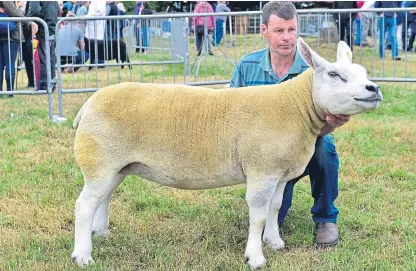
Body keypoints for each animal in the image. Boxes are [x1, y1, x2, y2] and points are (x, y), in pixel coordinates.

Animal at [71, 38, 384, 271]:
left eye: (363, 74)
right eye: (334, 75)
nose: (374, 88)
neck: (296, 107)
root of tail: (88, 105)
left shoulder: (280, 174)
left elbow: (274, 208)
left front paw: (274, 242)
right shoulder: (261, 171)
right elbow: (258, 216)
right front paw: (255, 257)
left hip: (116, 166)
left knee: (103, 198)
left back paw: (100, 233)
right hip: (100, 161)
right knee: (84, 205)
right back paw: (82, 255)